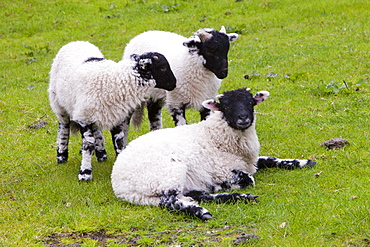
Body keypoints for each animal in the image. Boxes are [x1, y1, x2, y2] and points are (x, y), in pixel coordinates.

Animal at [48, 41, 176, 181]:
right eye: (163, 67)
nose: (174, 83)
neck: (116, 81)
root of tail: (76, 42)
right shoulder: (83, 117)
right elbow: (88, 145)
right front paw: (85, 174)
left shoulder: (117, 117)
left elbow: (119, 143)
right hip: (58, 103)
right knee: (63, 127)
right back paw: (61, 156)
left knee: (96, 130)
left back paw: (101, 154)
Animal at [110, 87, 268, 220]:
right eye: (226, 106)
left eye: (250, 102)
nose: (243, 118)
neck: (214, 135)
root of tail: (120, 186)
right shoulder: (223, 170)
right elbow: (249, 179)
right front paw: (223, 185)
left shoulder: (250, 162)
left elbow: (268, 160)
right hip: (167, 175)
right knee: (171, 201)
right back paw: (204, 211)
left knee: (193, 196)